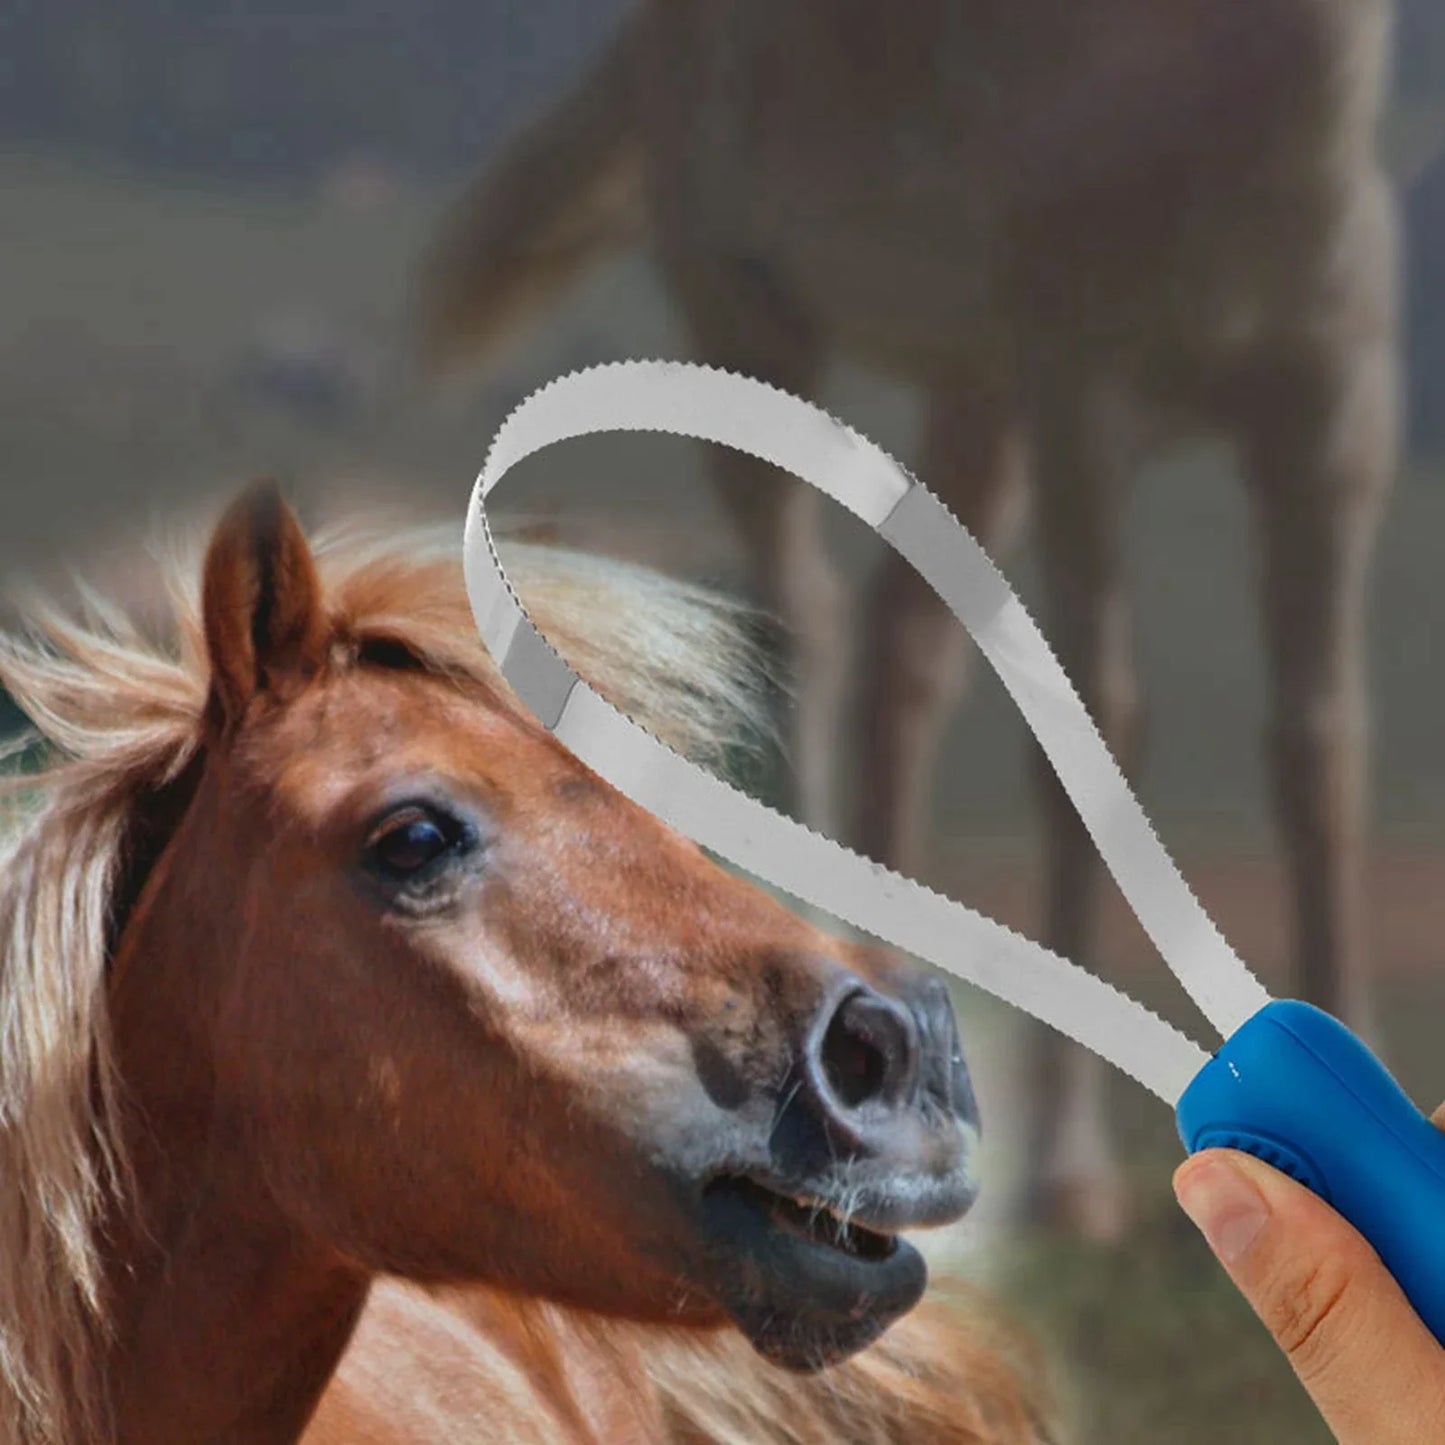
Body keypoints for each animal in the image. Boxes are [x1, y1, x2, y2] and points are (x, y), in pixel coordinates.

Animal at [421, 0, 1401, 1236]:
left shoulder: (1331, 415)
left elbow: (1321, 747)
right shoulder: (1082, 399)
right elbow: (1096, 735)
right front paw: (1067, 1181)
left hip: (973, 396)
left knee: (900, 654)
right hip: (753, 320)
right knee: (805, 618)